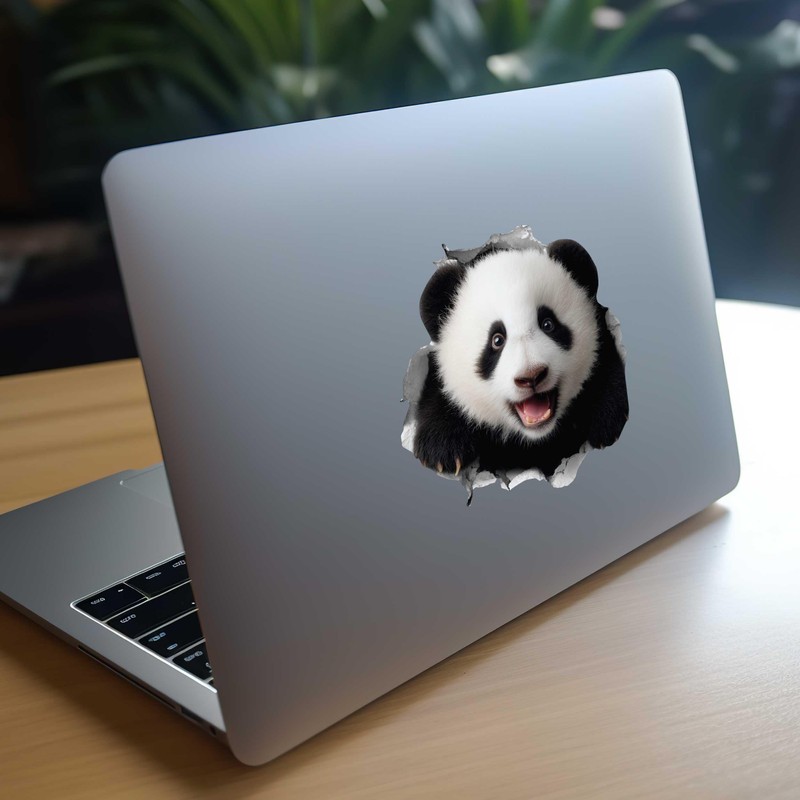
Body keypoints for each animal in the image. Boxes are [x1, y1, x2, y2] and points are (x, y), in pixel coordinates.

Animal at [411, 234, 628, 485]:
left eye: (548, 324)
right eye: (497, 340)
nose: (532, 376)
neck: (534, 439)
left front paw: (607, 419)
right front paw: (441, 449)